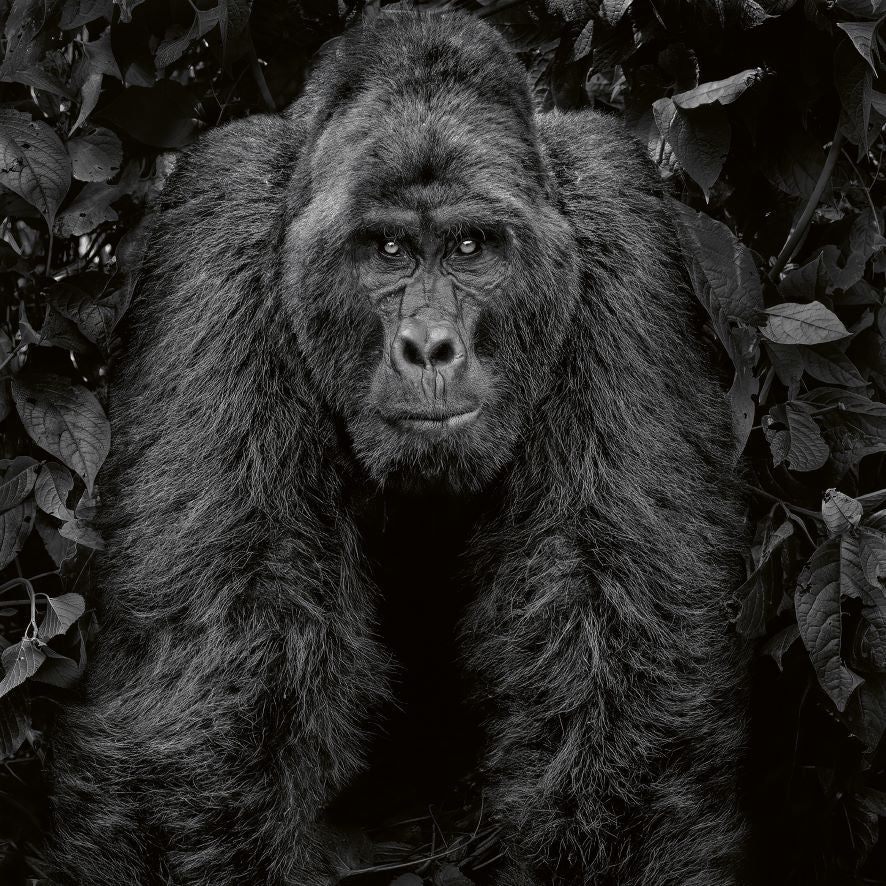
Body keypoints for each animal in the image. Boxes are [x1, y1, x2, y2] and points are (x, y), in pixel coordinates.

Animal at [45, 12, 752, 886]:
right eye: (387, 251)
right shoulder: (221, 216)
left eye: (472, 248)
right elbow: (205, 701)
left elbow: (620, 692)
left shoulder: (618, 215)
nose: (428, 347)